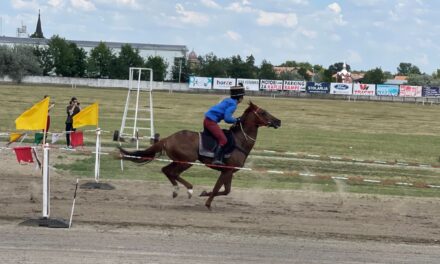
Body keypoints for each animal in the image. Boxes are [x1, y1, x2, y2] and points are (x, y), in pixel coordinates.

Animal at [117, 101, 282, 208]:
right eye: (263, 112)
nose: (278, 121)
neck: (240, 140)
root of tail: (167, 138)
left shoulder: (229, 172)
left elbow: (226, 191)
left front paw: (204, 193)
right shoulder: (226, 171)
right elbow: (218, 189)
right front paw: (207, 203)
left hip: (179, 160)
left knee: (166, 170)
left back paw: (176, 191)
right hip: (187, 161)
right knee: (172, 172)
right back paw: (188, 190)